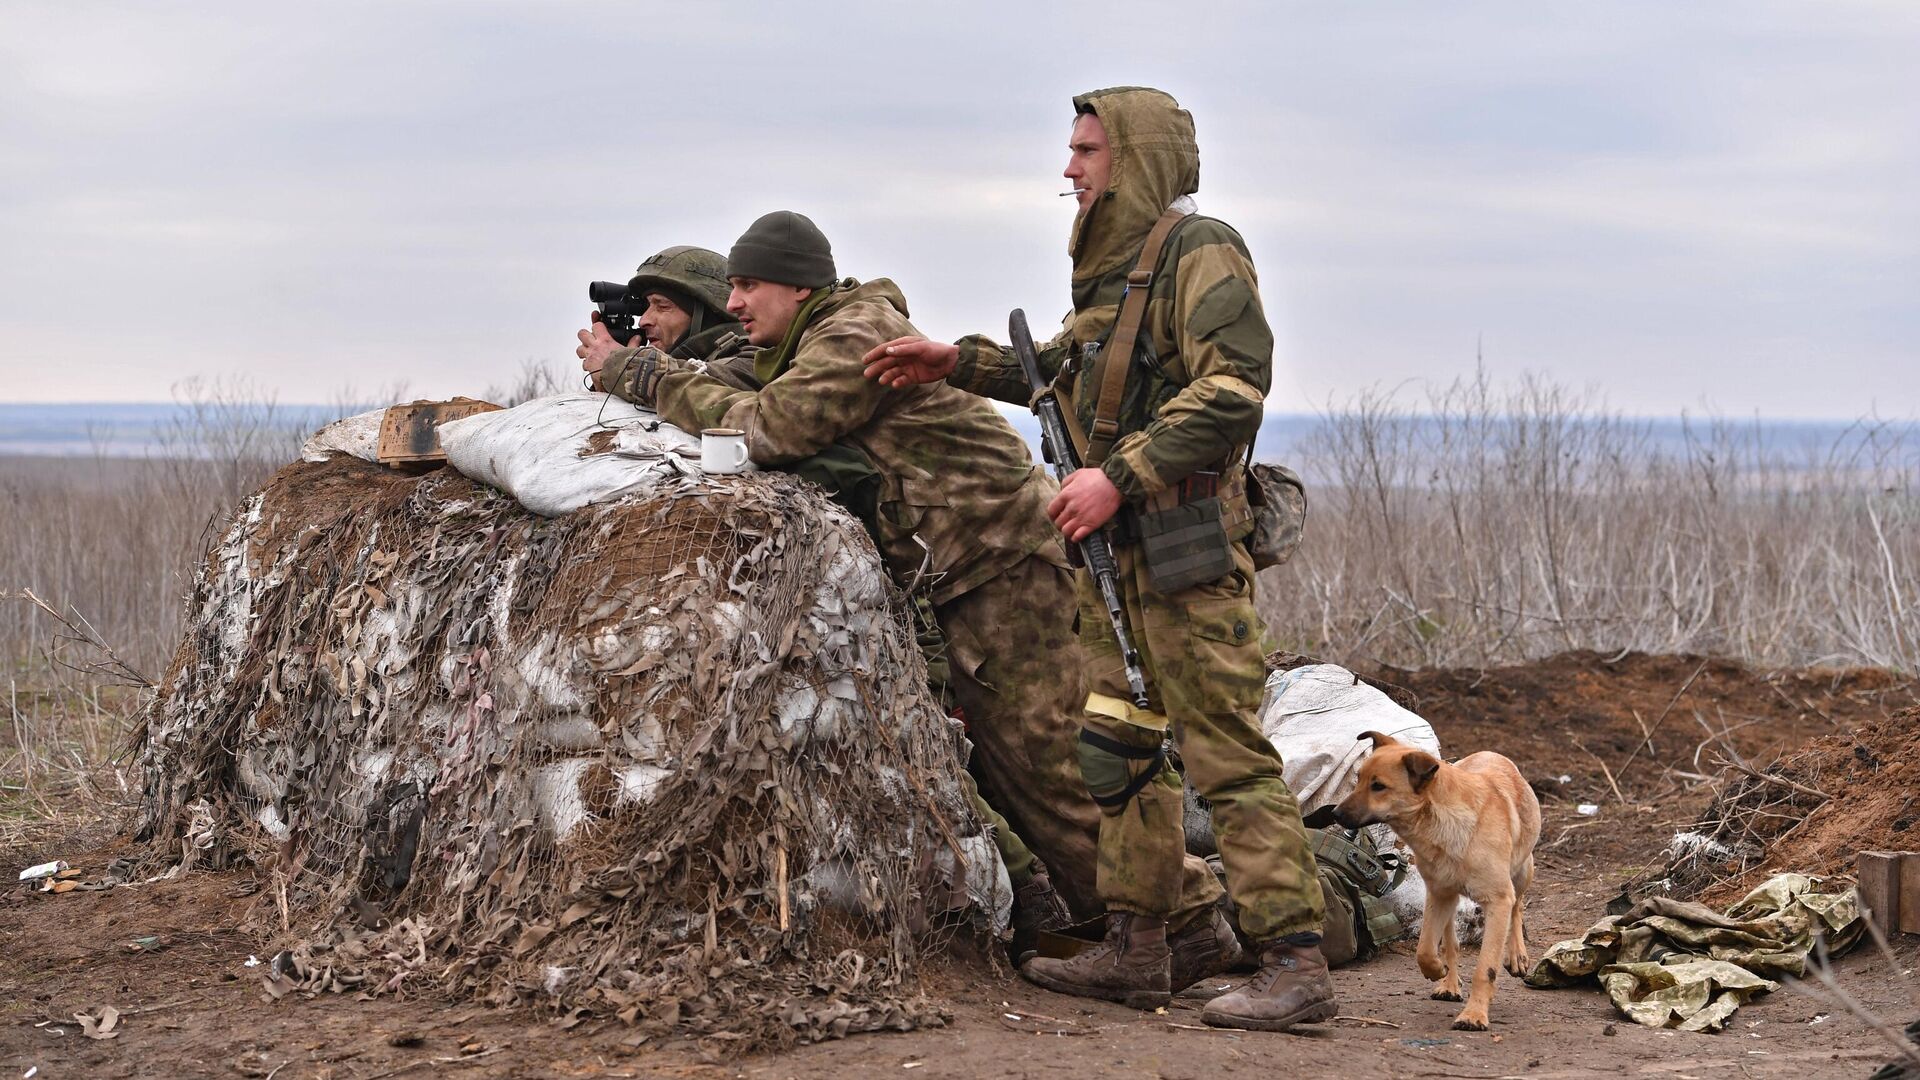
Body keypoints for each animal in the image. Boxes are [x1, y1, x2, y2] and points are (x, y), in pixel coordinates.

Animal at [1336, 730, 1543, 1022]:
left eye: (1378, 786)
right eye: (1358, 780)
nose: (1335, 814)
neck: (1443, 820)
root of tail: (1491, 753)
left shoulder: (1498, 900)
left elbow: (1486, 967)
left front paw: (1474, 1015)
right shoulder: (1438, 894)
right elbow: (1425, 949)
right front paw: (1437, 971)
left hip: (1523, 870)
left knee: (1518, 906)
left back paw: (1516, 956)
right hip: (1449, 897)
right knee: (1451, 943)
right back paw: (1450, 984)